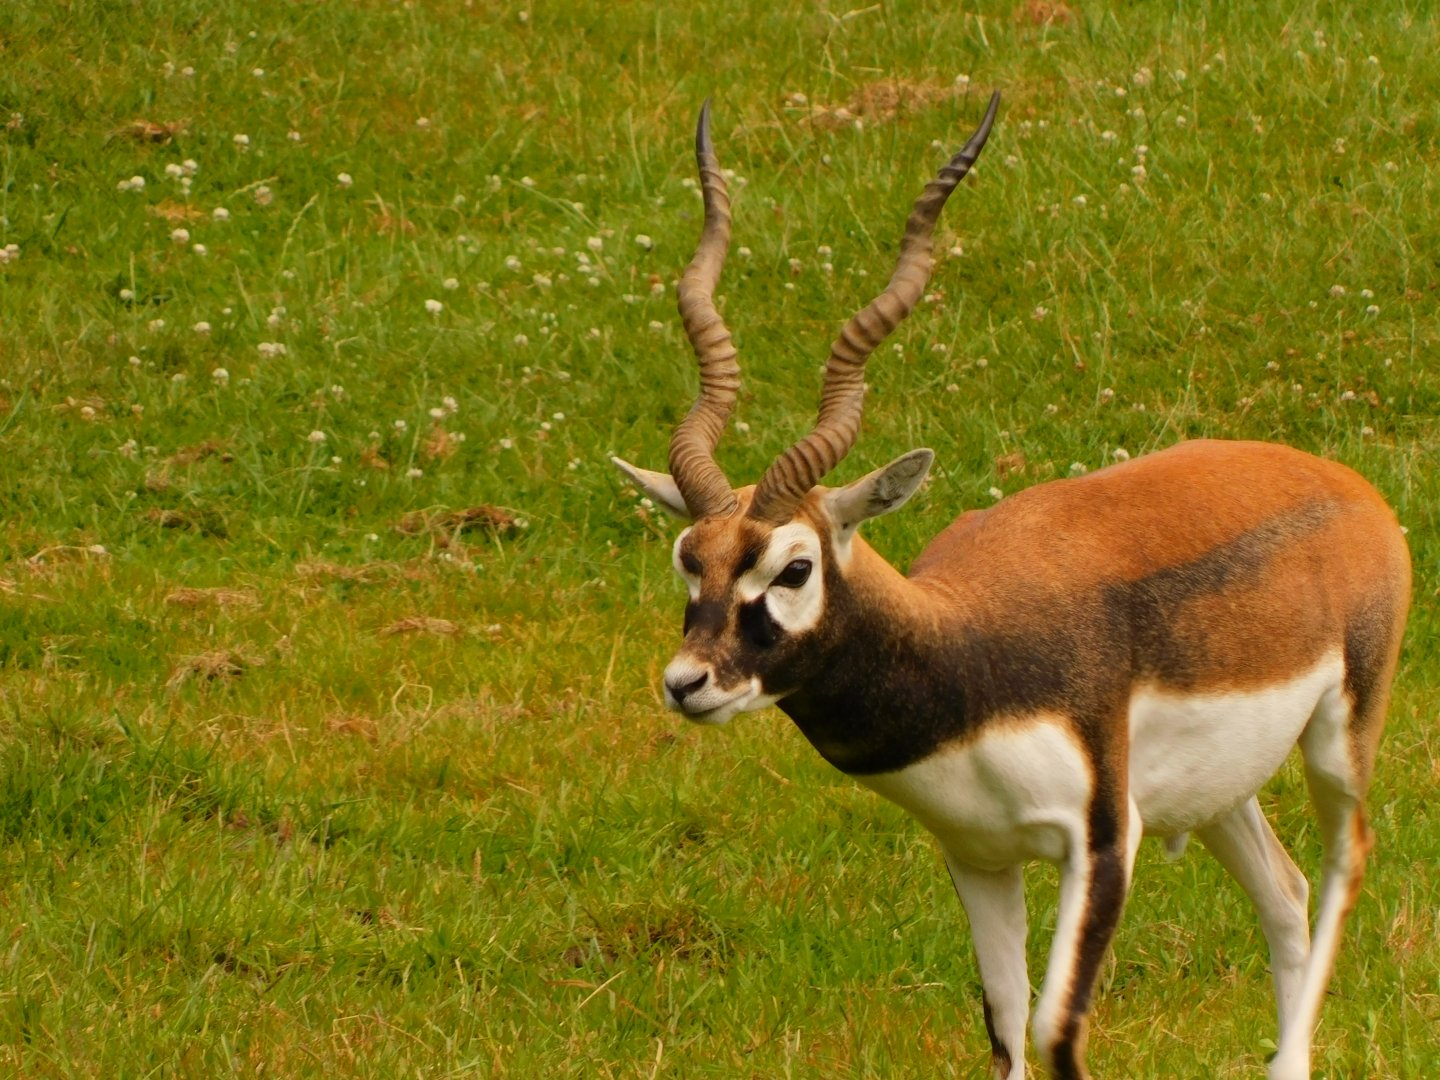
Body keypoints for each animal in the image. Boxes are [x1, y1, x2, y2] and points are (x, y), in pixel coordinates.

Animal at [611, 91, 1411, 1080]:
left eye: (793, 566)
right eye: (689, 557)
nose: (687, 684)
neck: (964, 658)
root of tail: (1344, 486)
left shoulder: (1102, 841)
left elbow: (1053, 1029)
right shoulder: (977, 854)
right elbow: (1002, 1024)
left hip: (1340, 741)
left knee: (1341, 866)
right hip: (1221, 791)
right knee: (1287, 895)